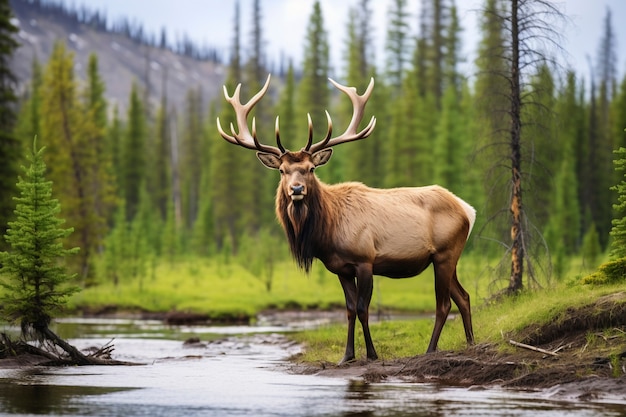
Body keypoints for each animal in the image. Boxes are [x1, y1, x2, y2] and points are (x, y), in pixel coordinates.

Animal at [217, 75, 476, 364]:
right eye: (282, 171)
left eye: (311, 169)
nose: (296, 189)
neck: (326, 233)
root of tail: (468, 209)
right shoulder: (341, 268)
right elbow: (350, 309)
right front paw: (347, 356)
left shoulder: (365, 260)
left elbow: (363, 308)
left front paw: (372, 354)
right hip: (446, 259)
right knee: (464, 297)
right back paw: (470, 342)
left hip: (445, 254)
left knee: (443, 304)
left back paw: (431, 349)